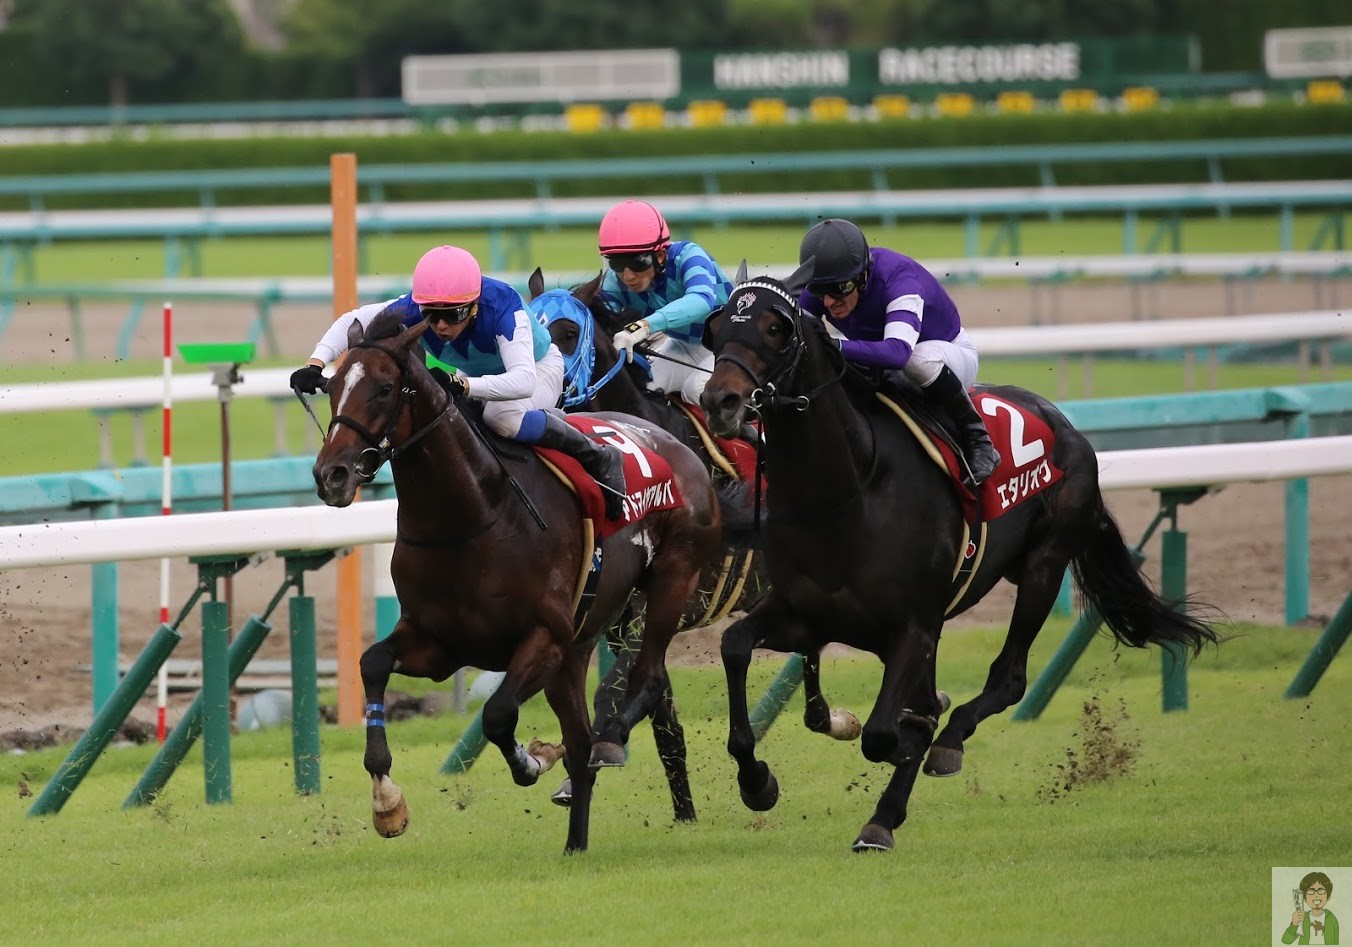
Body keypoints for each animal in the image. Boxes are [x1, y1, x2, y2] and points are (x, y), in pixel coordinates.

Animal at [311, 307, 726, 854]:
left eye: (383, 388)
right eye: (332, 385)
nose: (331, 475)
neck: (474, 516)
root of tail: (679, 445)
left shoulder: (544, 637)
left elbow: (498, 713)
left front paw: (533, 760)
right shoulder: (441, 643)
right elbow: (373, 663)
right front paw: (387, 802)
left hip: (669, 583)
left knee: (646, 680)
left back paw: (611, 741)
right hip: (578, 648)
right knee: (580, 741)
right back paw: (575, 845)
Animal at [698, 263, 1220, 852]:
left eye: (775, 328)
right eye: (717, 327)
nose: (720, 402)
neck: (850, 490)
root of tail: (1065, 425)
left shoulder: (914, 626)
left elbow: (889, 731)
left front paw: (904, 753)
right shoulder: (806, 615)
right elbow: (735, 648)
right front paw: (757, 781)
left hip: (1044, 566)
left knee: (1008, 678)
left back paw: (931, 761)